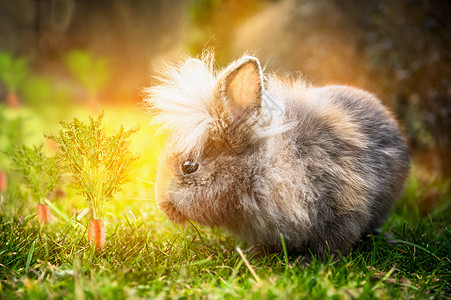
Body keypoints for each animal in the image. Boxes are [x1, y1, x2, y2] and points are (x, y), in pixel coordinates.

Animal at [146, 53, 414, 255]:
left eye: (189, 166)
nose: (162, 204)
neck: (262, 169)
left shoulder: (344, 205)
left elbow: (332, 243)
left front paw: (308, 262)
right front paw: (254, 253)